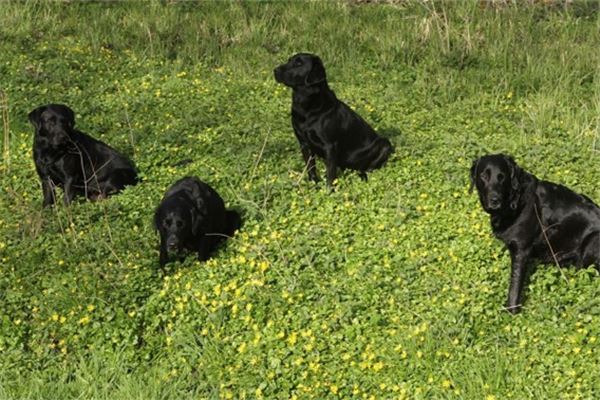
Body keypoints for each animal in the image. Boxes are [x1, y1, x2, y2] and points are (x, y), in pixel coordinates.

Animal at [274, 52, 394, 188]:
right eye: (289, 60)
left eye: (299, 63)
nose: (275, 70)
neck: (307, 107)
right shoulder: (304, 144)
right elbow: (311, 168)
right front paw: (314, 184)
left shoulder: (329, 146)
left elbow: (330, 174)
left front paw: (329, 190)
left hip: (385, 144)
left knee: (367, 168)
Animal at [472, 153, 596, 312]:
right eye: (484, 176)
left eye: (502, 177)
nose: (495, 200)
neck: (515, 201)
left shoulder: (521, 250)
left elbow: (515, 286)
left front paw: (511, 311)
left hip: (591, 242)